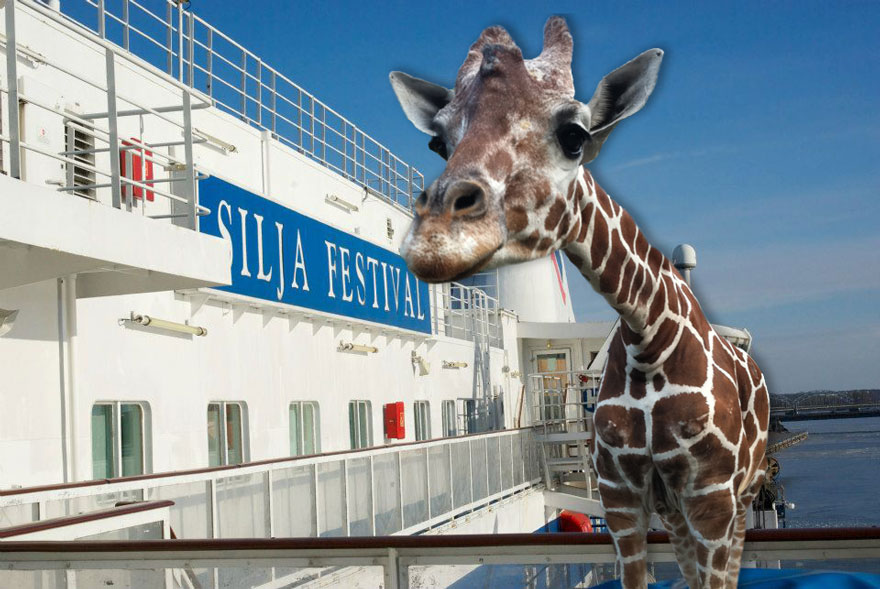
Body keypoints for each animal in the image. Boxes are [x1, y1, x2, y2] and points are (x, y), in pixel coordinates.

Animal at [389, 17, 769, 589]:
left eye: (574, 135)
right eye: (438, 142)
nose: (434, 239)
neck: (648, 341)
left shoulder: (712, 497)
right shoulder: (621, 497)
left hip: (742, 494)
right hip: (674, 509)